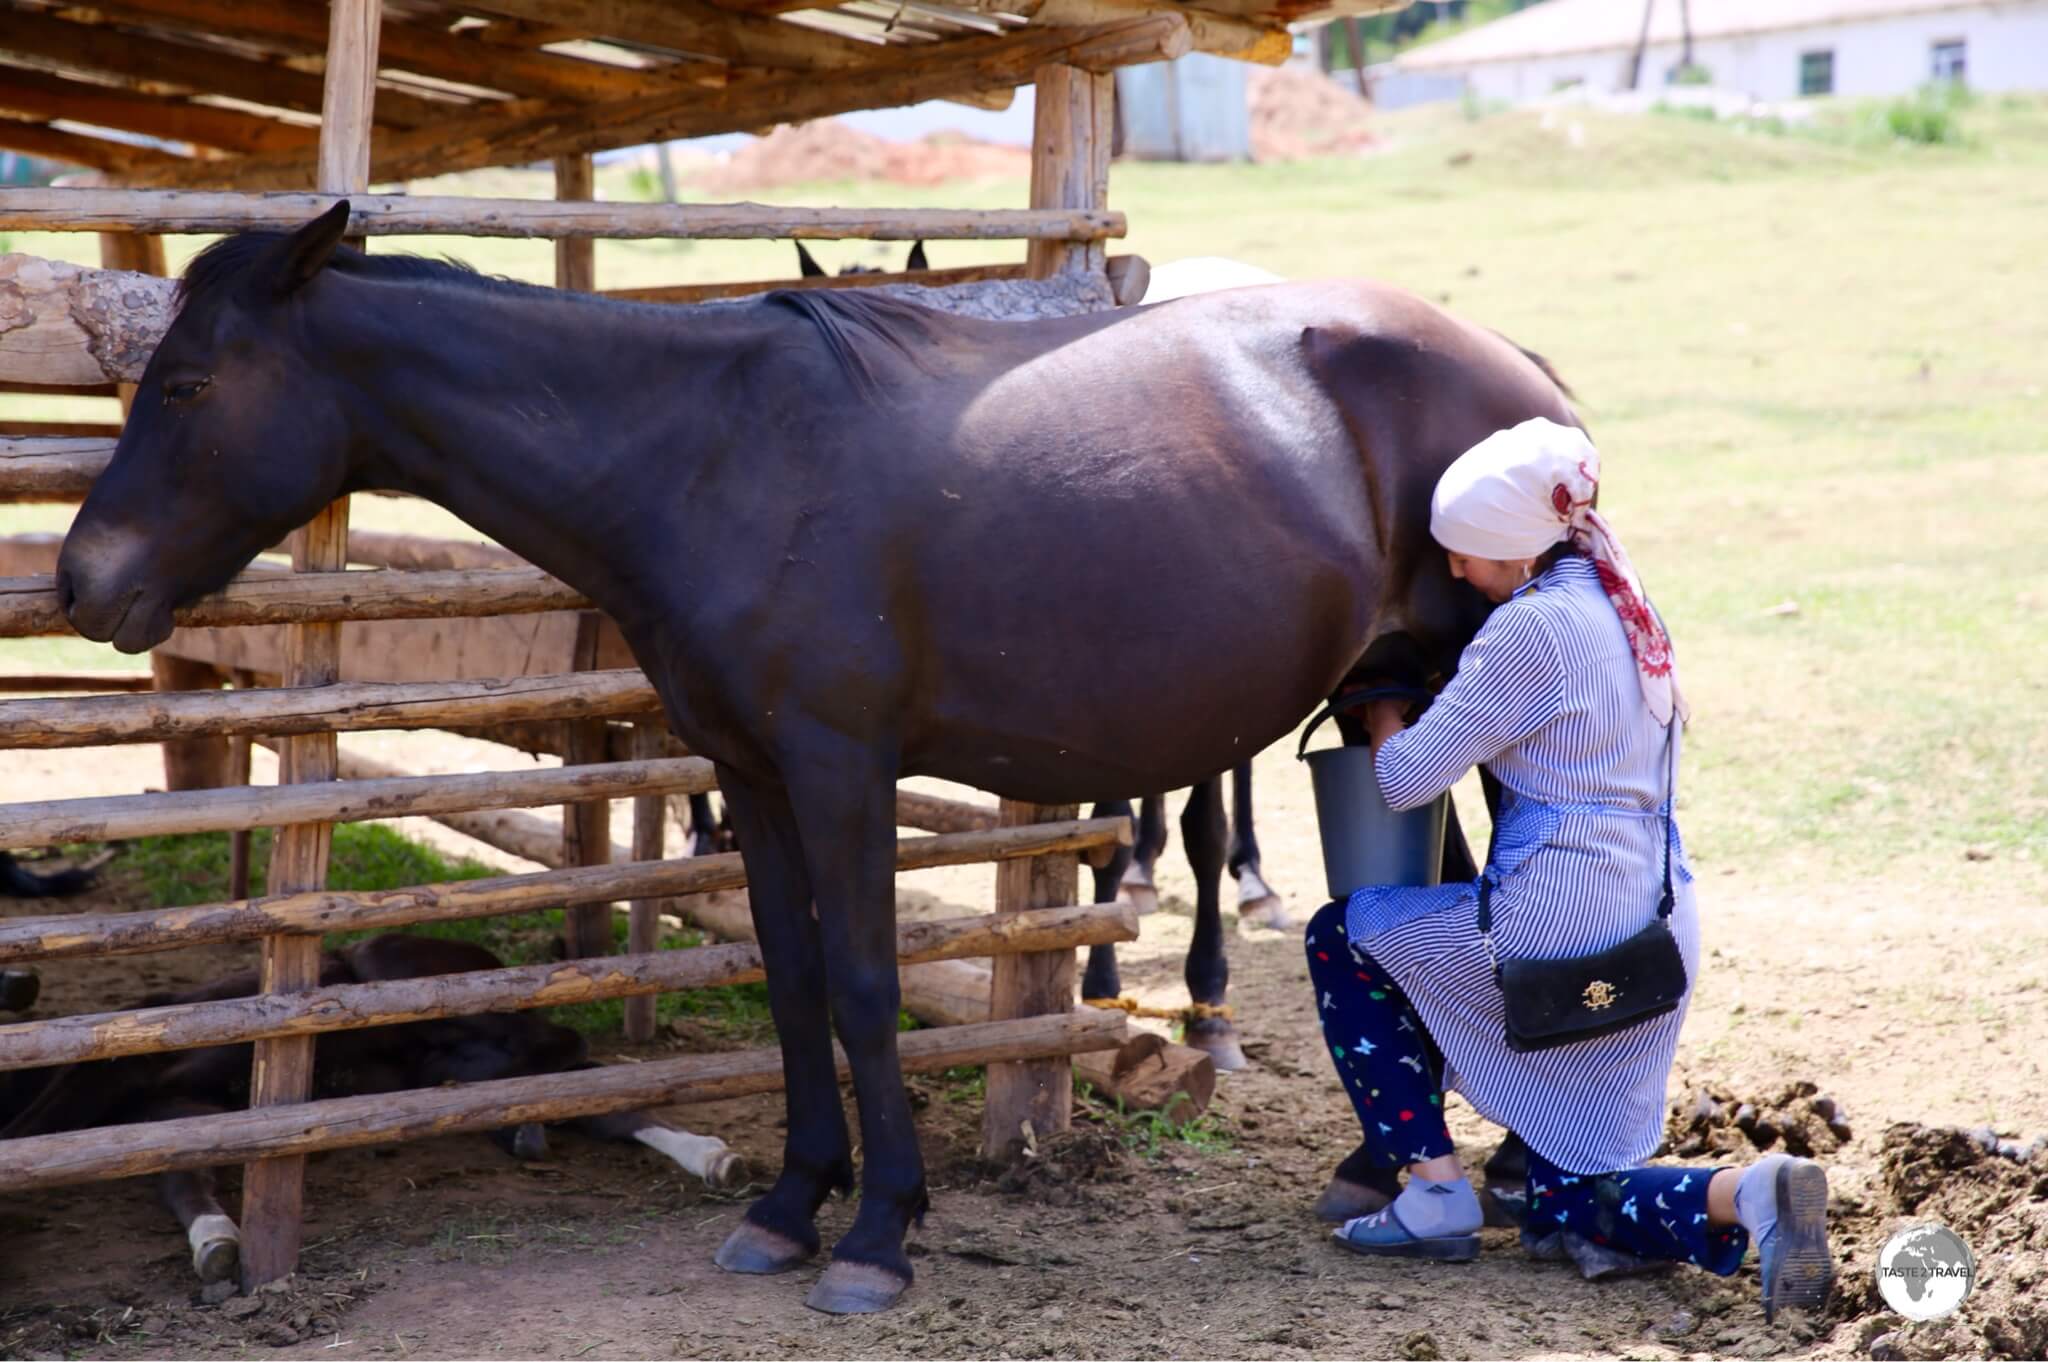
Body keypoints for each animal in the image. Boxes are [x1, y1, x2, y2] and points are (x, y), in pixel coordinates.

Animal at [0, 929, 749, 1278]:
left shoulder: (125, 1079)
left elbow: (31, 1133)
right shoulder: (179, 1116)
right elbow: (186, 1183)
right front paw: (216, 1244)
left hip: (396, 966)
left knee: (565, 1050)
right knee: (573, 1084)